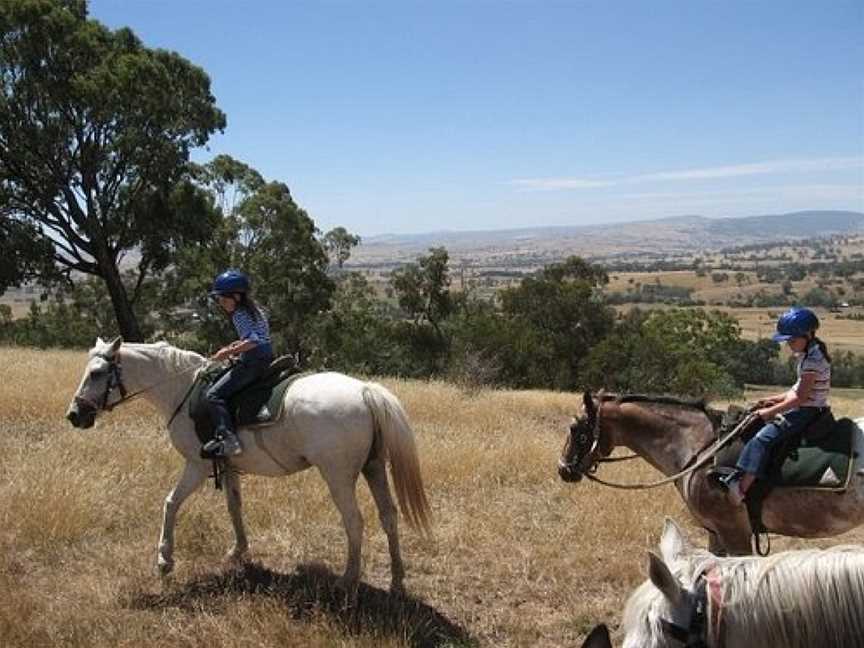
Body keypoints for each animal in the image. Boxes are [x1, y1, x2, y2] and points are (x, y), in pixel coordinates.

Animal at [65, 336, 432, 596]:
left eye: (97, 373)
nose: (75, 415)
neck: (182, 391)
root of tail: (365, 391)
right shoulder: (227, 465)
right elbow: (234, 506)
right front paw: (238, 551)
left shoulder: (197, 465)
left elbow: (170, 503)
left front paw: (165, 561)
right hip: (374, 468)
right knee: (389, 516)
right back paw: (397, 580)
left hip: (339, 476)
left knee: (354, 521)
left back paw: (348, 580)